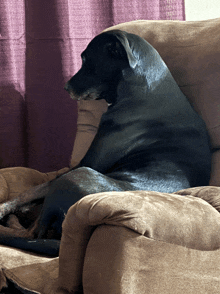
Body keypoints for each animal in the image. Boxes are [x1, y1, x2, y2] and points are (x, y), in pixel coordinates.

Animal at [0, 29, 211, 255]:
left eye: (85, 59)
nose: (65, 87)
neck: (146, 90)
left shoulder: (86, 164)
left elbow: (31, 190)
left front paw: (4, 208)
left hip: (78, 175)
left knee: (31, 233)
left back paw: (10, 223)